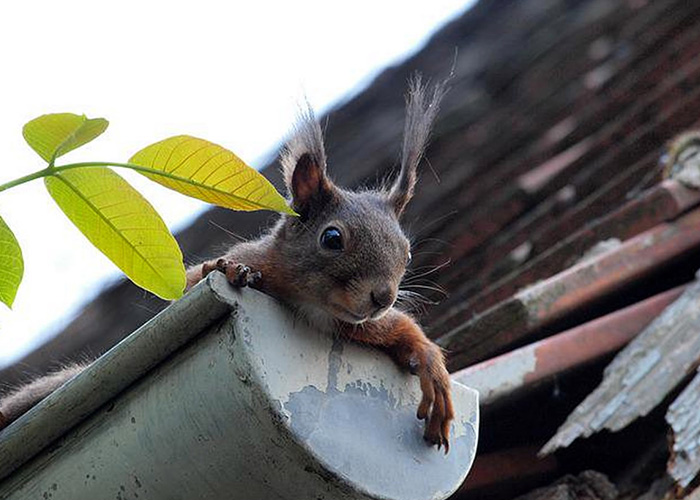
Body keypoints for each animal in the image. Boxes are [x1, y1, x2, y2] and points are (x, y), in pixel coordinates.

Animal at [0, 76, 454, 452]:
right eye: (332, 238)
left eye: (407, 252)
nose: (382, 297)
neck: (312, 304)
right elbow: (188, 286)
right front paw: (226, 271)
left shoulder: (353, 324)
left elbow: (399, 330)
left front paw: (431, 366)